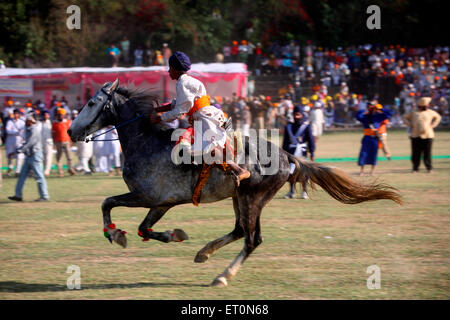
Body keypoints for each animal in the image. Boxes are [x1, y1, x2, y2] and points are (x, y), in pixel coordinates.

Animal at [68, 80, 402, 288]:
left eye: (91, 102)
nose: (71, 131)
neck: (146, 141)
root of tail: (285, 155)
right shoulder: (162, 202)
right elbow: (143, 228)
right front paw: (173, 235)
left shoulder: (147, 196)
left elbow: (108, 203)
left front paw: (115, 235)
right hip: (240, 197)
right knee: (242, 230)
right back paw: (204, 253)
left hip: (252, 198)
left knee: (252, 239)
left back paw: (222, 275)